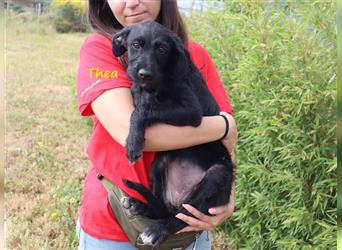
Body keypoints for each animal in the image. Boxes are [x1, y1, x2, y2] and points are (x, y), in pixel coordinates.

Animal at [112, 21, 235, 246]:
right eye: (135, 44)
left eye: (162, 49)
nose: (144, 74)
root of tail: (179, 198)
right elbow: (141, 101)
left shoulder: (192, 111)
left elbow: (142, 111)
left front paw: (133, 143)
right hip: (159, 164)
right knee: (161, 207)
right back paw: (138, 205)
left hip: (217, 176)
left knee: (182, 216)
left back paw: (157, 231)